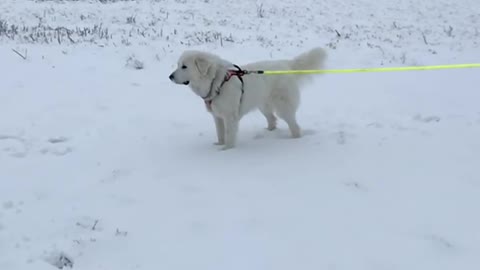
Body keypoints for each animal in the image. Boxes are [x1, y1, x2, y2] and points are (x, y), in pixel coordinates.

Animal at [169, 47, 326, 151]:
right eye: (178, 65)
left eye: (184, 66)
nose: (170, 76)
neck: (216, 80)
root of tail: (286, 65)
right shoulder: (217, 116)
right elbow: (220, 133)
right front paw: (219, 145)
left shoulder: (230, 116)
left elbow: (229, 134)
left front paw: (226, 150)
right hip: (263, 105)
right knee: (272, 119)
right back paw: (268, 132)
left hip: (283, 107)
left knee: (294, 126)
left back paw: (294, 140)